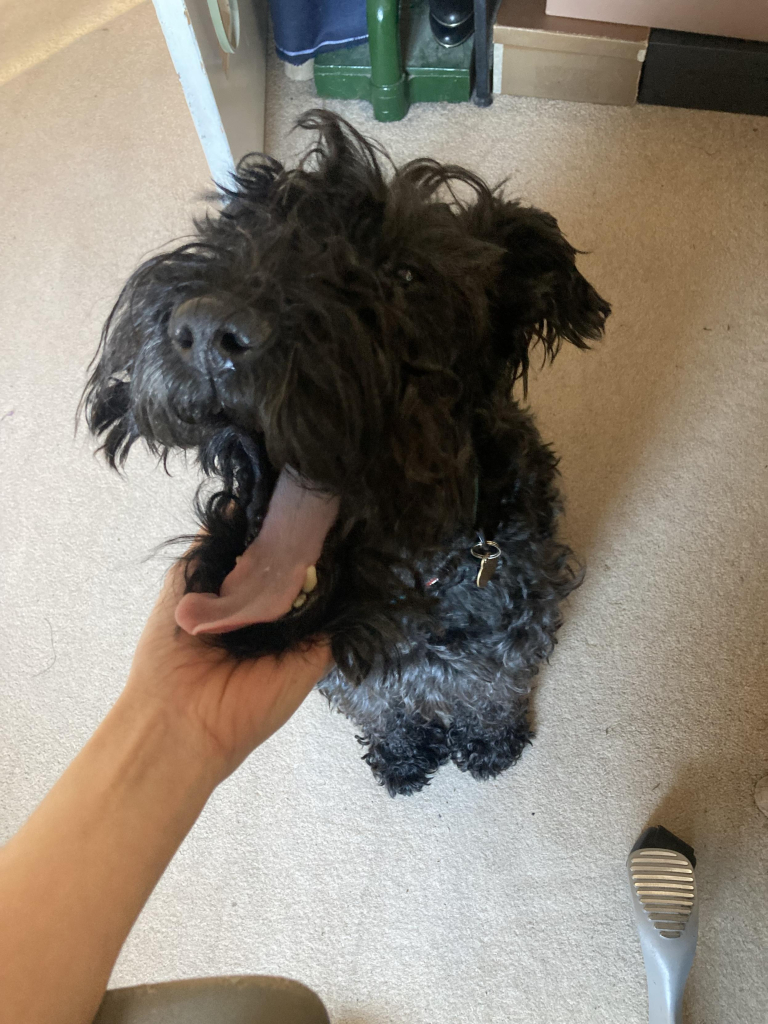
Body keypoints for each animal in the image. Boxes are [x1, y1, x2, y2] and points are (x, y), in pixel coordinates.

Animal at [83, 114, 610, 798]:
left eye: (407, 275)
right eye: (239, 228)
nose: (207, 329)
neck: (428, 583)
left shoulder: (511, 647)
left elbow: (491, 696)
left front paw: (490, 744)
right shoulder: (354, 681)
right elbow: (385, 711)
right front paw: (402, 756)